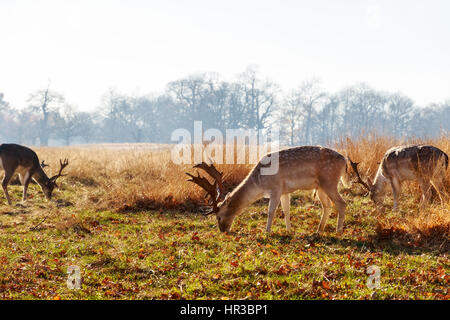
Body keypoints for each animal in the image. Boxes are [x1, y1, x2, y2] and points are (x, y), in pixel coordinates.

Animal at [185, 146, 350, 234]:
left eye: (218, 216)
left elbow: (271, 211)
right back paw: (318, 230)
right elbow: (286, 211)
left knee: (342, 203)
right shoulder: (285, 191)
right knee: (327, 205)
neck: (260, 183)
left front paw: (267, 231)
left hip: (329, 181)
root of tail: (345, 161)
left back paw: (338, 231)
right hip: (320, 186)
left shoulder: (276, 188)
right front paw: (289, 230)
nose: (223, 230)